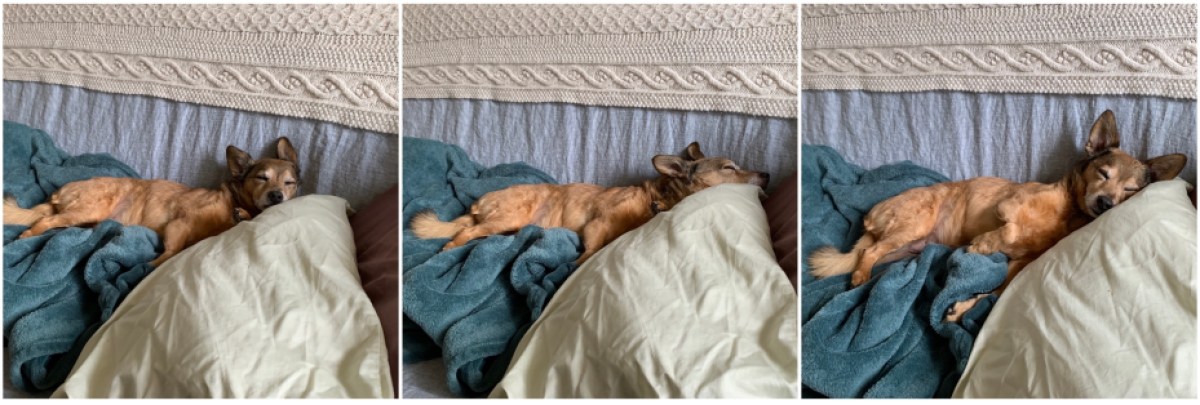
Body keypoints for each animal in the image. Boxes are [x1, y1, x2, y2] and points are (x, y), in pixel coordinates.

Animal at [4, 137, 302, 267]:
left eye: (290, 183)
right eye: (262, 177)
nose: (277, 196)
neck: (232, 206)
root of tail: (58, 193)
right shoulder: (179, 224)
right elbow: (171, 252)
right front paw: (147, 266)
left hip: (86, 218)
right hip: (86, 209)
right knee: (46, 219)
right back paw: (26, 235)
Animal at [412, 143, 768, 266]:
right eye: (729, 167)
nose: (767, 174)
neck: (656, 201)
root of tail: (477, 204)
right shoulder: (597, 226)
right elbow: (591, 252)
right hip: (505, 219)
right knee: (463, 235)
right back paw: (448, 248)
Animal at [811, 110, 1185, 323]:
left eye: (1131, 191)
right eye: (1103, 173)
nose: (1106, 203)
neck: (1069, 214)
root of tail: (872, 217)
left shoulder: (1018, 267)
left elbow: (993, 293)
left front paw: (961, 309)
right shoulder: (1004, 207)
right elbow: (1006, 233)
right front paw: (981, 245)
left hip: (905, 249)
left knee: (870, 251)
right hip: (912, 224)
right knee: (868, 251)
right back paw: (859, 277)